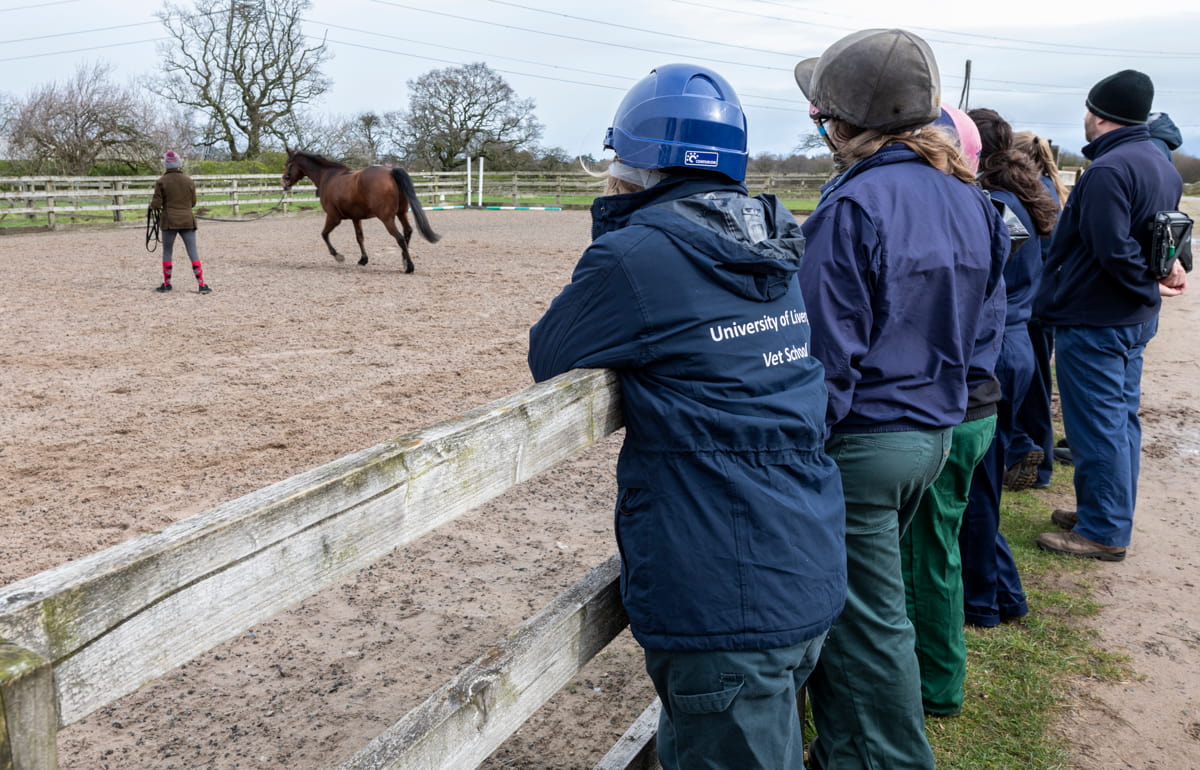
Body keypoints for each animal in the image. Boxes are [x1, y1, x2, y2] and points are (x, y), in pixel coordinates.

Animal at [280, 148, 441, 271]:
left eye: (288, 164)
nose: (284, 182)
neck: (328, 175)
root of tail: (391, 172)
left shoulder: (333, 217)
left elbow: (324, 234)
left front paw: (338, 256)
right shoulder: (356, 218)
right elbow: (359, 238)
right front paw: (363, 259)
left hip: (387, 218)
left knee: (400, 237)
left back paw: (409, 266)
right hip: (401, 213)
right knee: (408, 232)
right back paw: (404, 261)